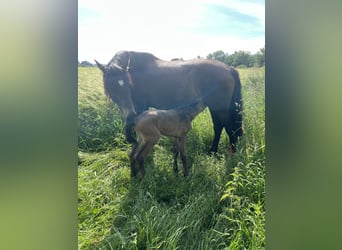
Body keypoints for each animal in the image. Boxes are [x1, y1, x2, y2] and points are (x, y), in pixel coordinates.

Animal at [95, 50, 242, 152]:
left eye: (128, 84)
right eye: (111, 87)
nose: (130, 115)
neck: (136, 70)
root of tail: (228, 68)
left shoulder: (140, 106)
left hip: (221, 108)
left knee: (229, 129)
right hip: (215, 107)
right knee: (218, 127)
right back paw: (213, 151)